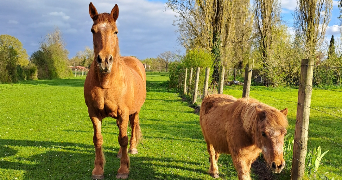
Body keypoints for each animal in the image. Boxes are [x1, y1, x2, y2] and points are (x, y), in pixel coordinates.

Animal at [84, 2, 147, 179]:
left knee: (132, 128)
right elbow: (98, 139)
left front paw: (123, 170)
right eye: (93, 30)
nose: (104, 61)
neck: (106, 83)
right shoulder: (94, 113)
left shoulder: (124, 112)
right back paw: (120, 153)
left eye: (115, 31)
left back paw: (132, 149)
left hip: (134, 112)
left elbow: (123, 138)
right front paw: (98, 170)